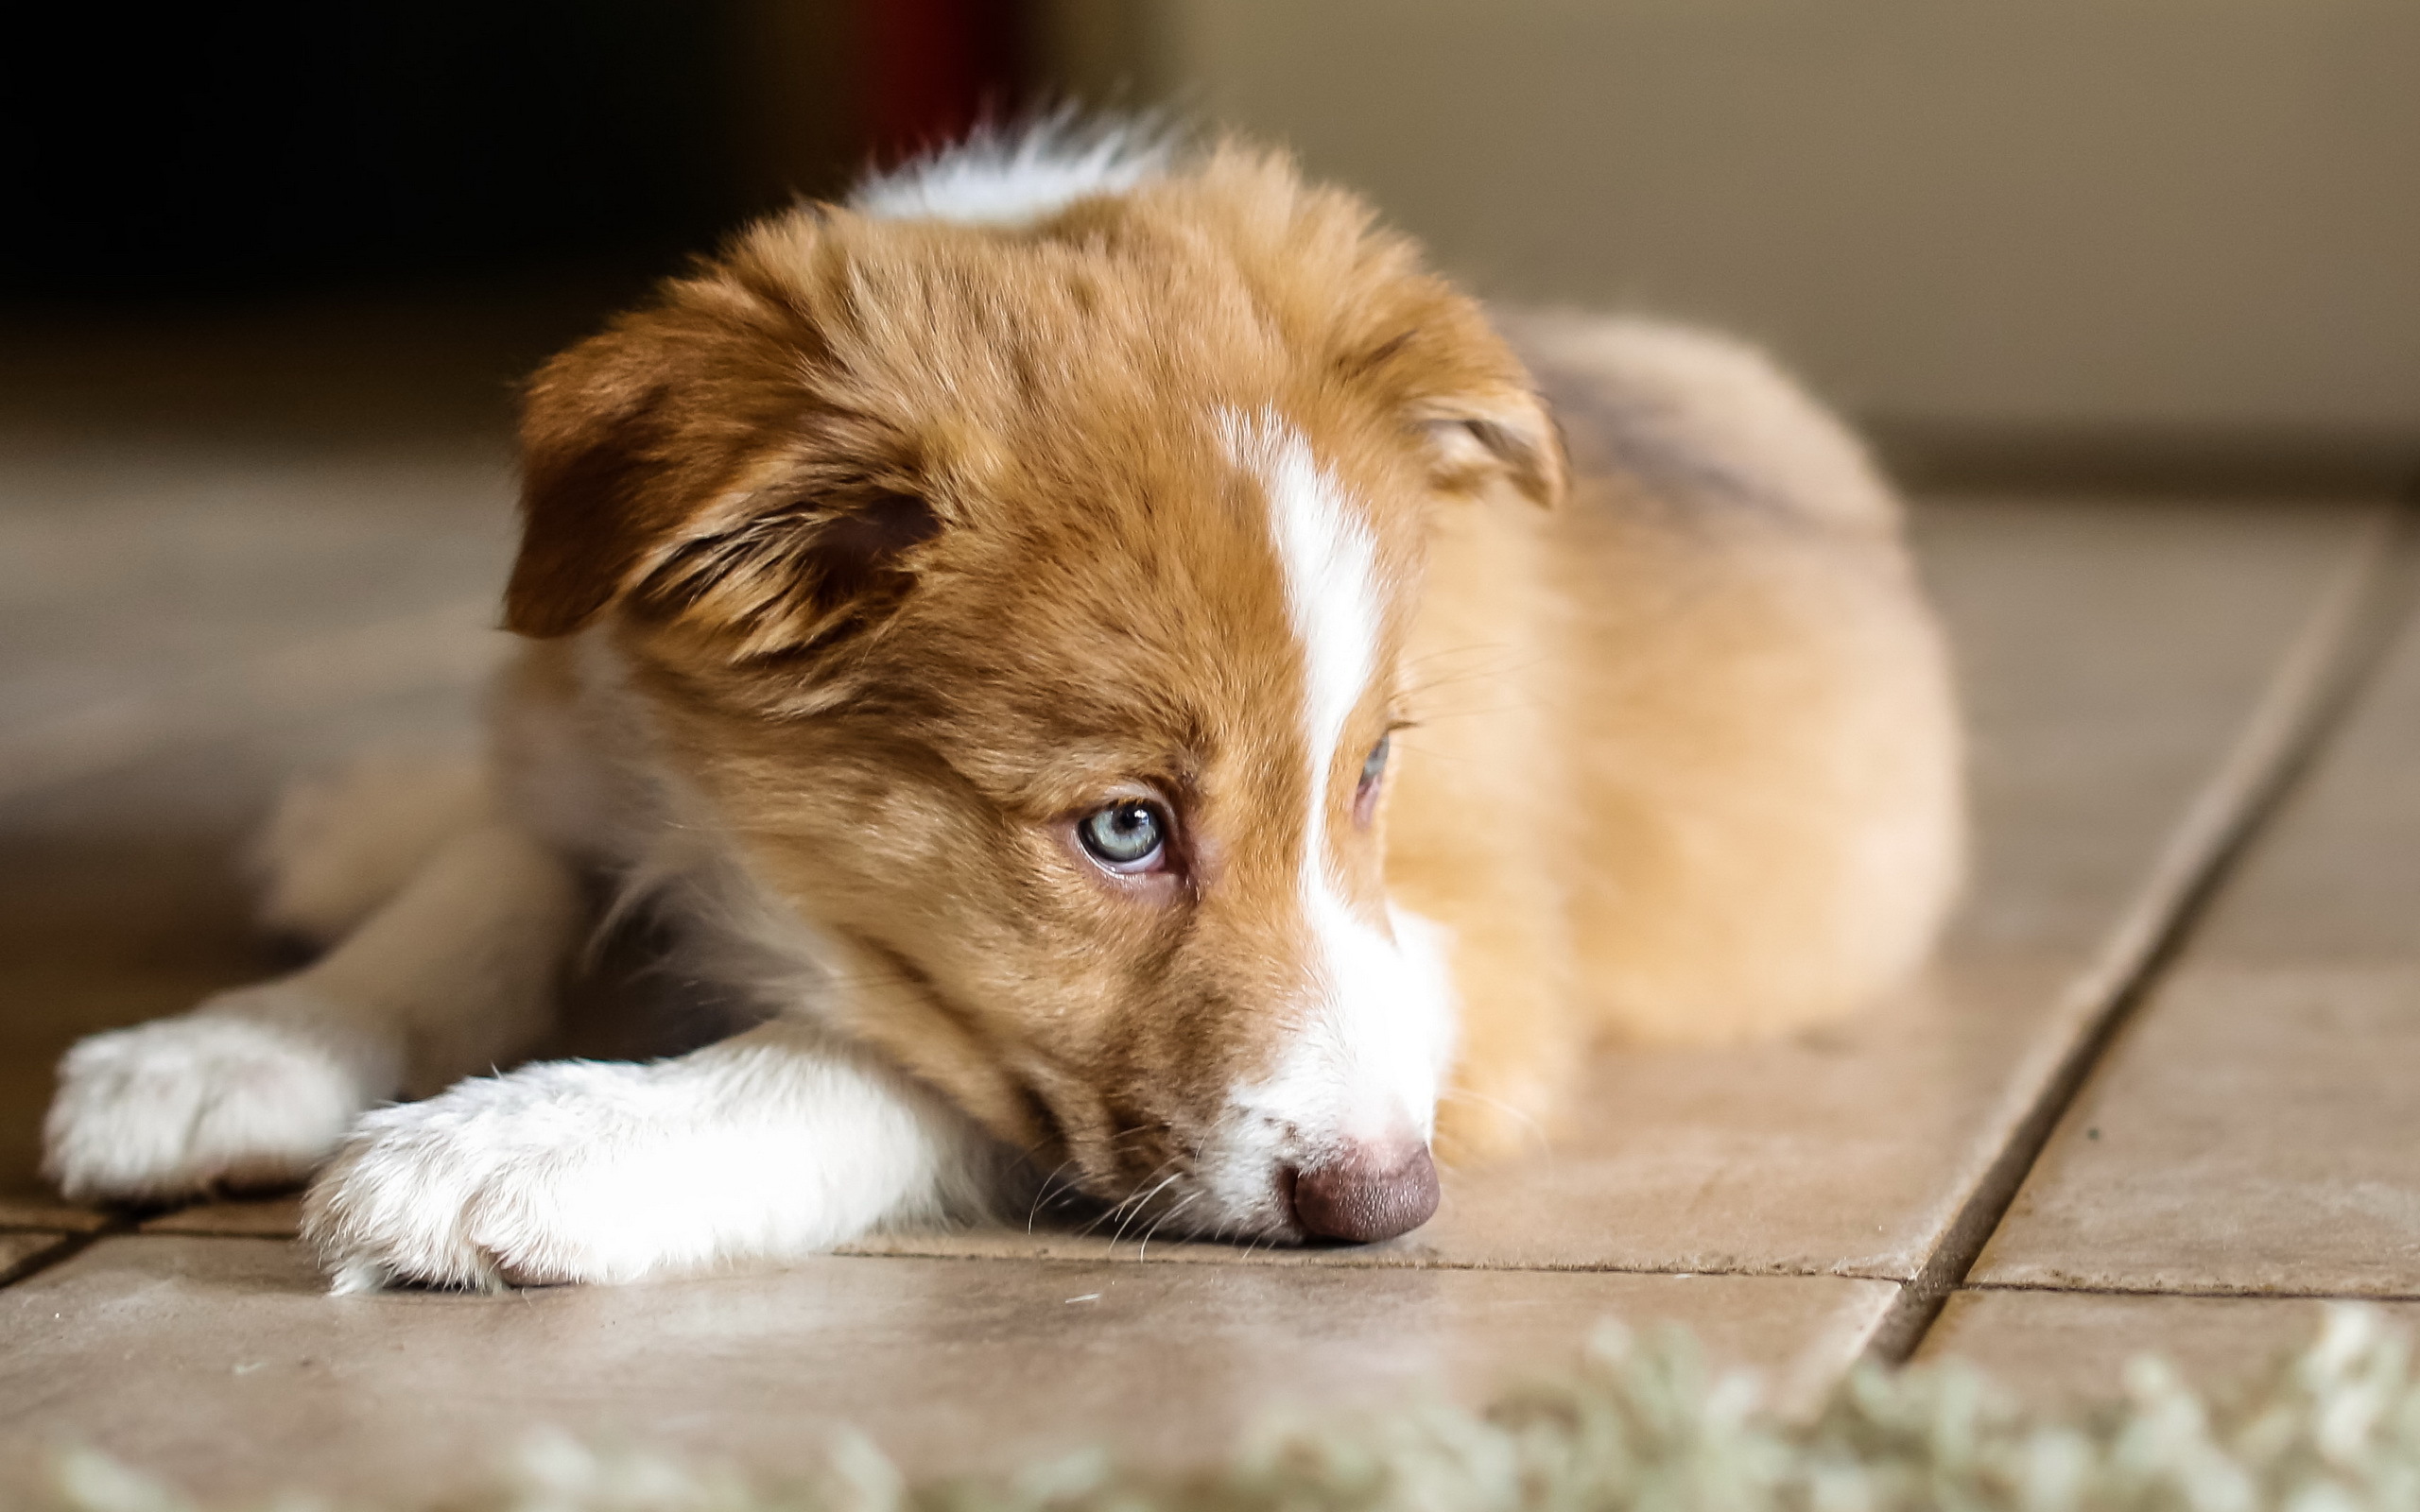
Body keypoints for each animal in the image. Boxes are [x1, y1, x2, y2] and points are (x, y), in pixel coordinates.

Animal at [38, 127, 1964, 1286]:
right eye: (1124, 829)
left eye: (1373, 779)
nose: (1388, 1209)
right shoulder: (610, 702)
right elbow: (493, 885)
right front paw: (237, 1048)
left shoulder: (1473, 963)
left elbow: (877, 1063)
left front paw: (535, 1146)